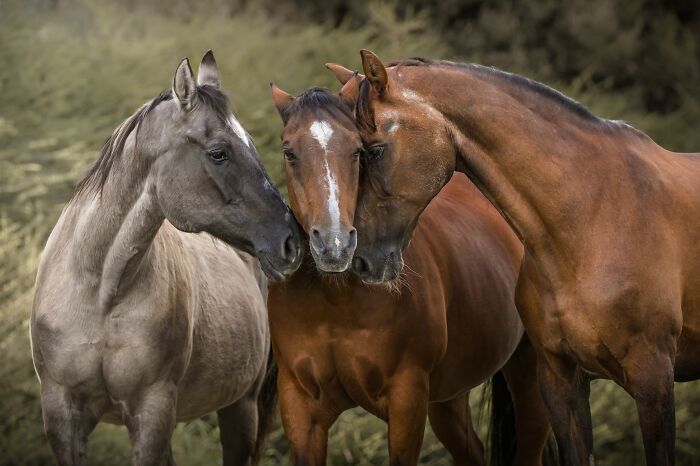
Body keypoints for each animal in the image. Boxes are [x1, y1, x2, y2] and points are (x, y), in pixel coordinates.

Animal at [30, 51, 303, 466]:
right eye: (219, 153)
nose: (292, 241)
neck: (100, 292)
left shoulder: (152, 411)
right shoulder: (61, 412)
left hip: (241, 408)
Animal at [266, 83, 552, 466]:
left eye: (358, 151)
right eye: (289, 152)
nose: (334, 244)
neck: (336, 301)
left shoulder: (407, 400)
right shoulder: (300, 407)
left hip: (528, 375)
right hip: (448, 401)